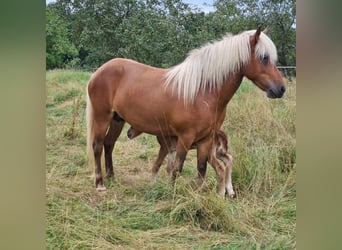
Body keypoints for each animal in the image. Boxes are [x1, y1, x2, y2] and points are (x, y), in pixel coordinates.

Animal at [86, 27, 286, 191]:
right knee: (97, 146)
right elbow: (176, 168)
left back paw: (112, 178)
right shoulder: (184, 138)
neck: (203, 92)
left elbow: (201, 169)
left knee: (109, 144)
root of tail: (100, 71)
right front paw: (171, 195)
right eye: (264, 58)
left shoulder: (206, 139)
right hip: (102, 117)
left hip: (117, 119)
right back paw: (100, 184)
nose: (281, 89)